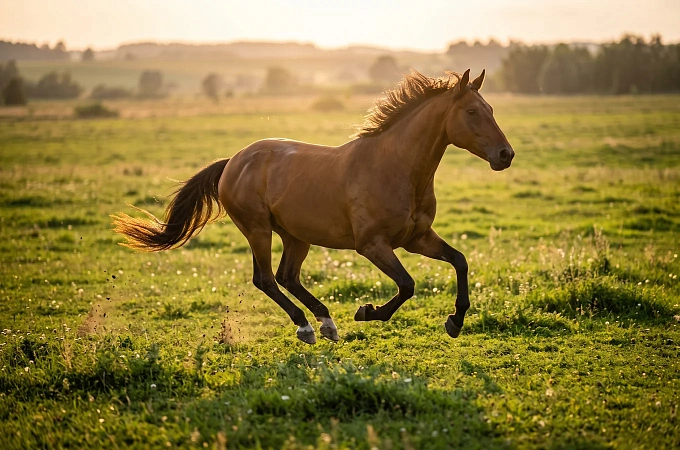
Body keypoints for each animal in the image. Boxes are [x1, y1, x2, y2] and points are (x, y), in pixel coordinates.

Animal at [112, 69, 515, 344]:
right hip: (258, 229)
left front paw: (455, 321)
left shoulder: (417, 238)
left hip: (296, 235)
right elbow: (407, 285)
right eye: (472, 112)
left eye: (491, 108)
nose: (505, 155)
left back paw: (325, 323)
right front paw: (367, 312)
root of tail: (232, 162)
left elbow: (459, 261)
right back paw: (307, 326)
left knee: (288, 276)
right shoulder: (372, 244)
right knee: (266, 279)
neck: (396, 168)